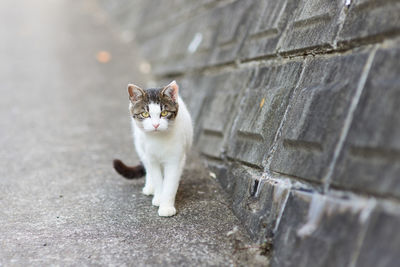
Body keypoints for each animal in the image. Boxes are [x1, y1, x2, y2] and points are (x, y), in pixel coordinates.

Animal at [113, 81, 193, 218]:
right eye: (145, 114)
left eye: (164, 113)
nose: (156, 125)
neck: (158, 139)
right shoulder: (150, 158)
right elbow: (157, 178)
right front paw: (159, 198)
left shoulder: (175, 159)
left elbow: (170, 182)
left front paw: (166, 206)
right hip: (140, 146)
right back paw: (150, 187)